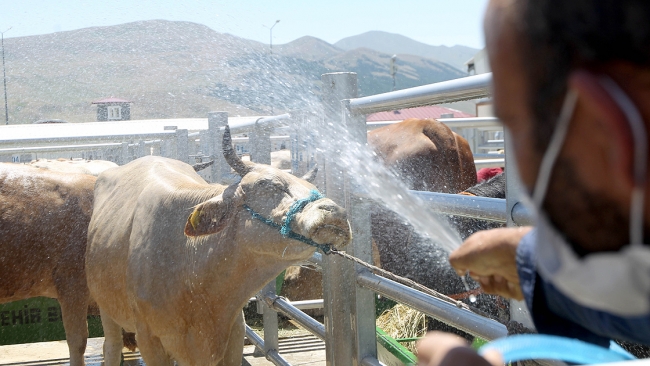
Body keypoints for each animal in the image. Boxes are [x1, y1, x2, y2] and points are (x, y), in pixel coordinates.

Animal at [86, 126, 352, 366]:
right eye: (269, 185)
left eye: (313, 188)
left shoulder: (234, 331)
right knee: (111, 346)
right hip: (107, 311)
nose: (336, 213)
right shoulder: (149, 340)